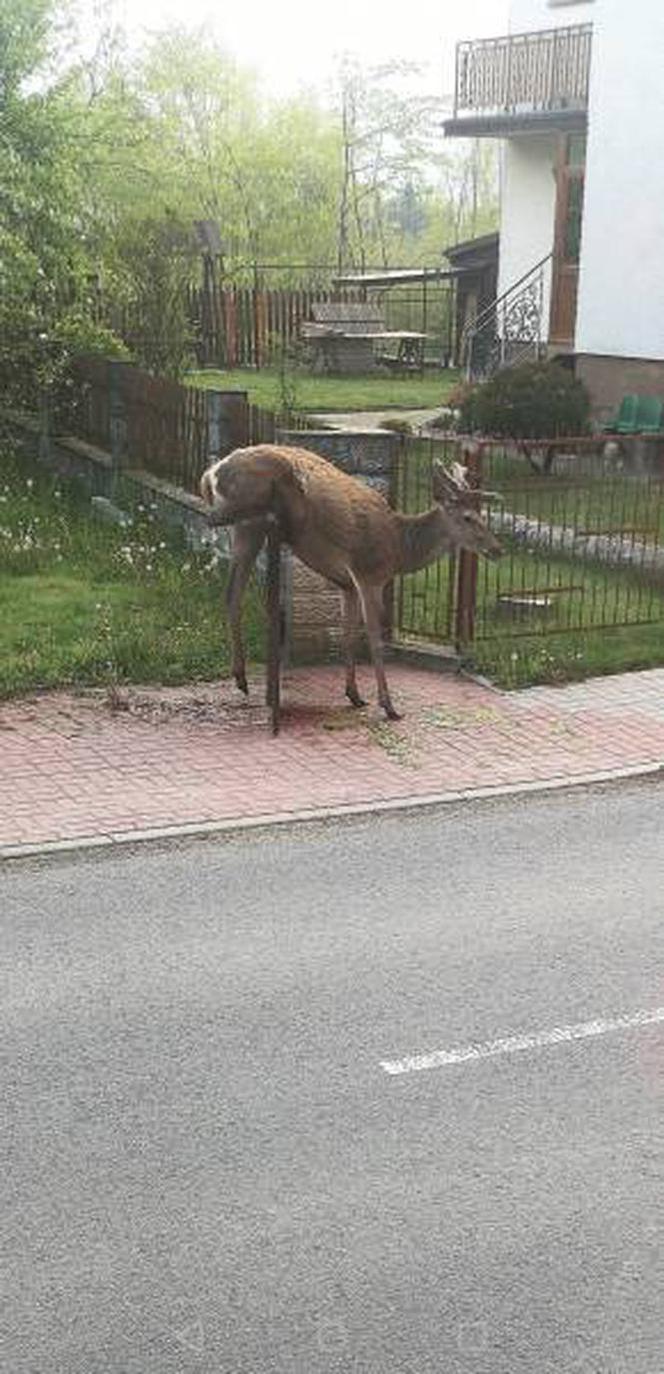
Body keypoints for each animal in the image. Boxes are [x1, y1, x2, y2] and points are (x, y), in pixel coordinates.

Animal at [200, 442, 500, 725]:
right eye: (468, 517)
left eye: (483, 515)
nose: (498, 549)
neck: (399, 548)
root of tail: (212, 473)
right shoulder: (368, 574)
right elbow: (374, 639)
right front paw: (389, 706)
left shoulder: (347, 584)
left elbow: (347, 635)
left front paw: (354, 695)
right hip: (251, 514)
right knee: (216, 526)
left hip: (245, 530)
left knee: (231, 592)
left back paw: (242, 679)